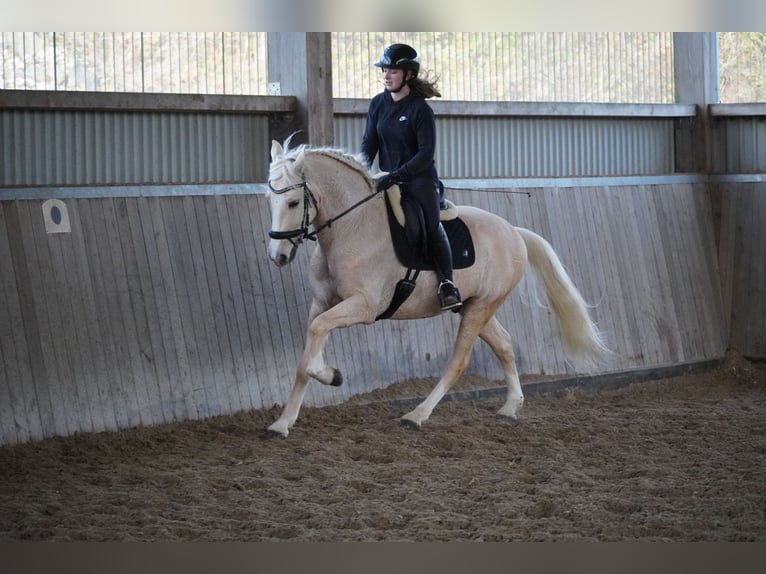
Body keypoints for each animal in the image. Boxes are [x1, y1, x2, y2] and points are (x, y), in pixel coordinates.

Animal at [264, 137, 612, 438]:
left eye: (293, 202)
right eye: (269, 199)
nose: (277, 256)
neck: (353, 226)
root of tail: (513, 231)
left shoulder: (363, 306)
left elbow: (315, 342)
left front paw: (330, 375)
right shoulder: (323, 302)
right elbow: (306, 354)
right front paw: (283, 422)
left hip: (481, 307)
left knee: (459, 361)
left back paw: (417, 415)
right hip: (474, 306)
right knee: (504, 344)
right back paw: (510, 407)